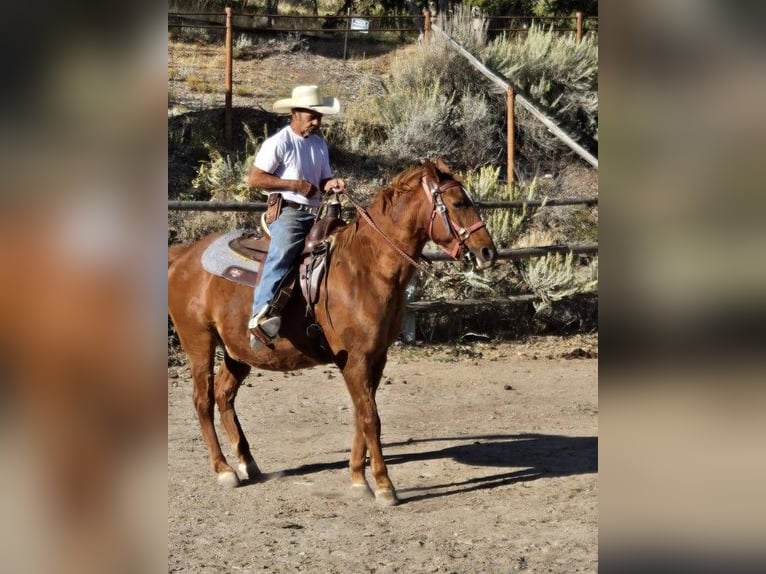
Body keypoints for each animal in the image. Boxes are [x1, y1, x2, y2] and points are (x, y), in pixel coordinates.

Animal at [168, 160, 498, 506]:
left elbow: (361, 414)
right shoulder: (355, 359)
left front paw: (358, 478)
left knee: (224, 395)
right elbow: (370, 418)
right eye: (458, 203)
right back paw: (224, 469)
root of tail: (184, 255)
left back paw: (247, 462)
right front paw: (384, 486)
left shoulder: (376, 358)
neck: (366, 268)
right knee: (203, 400)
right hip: (199, 343)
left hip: (238, 352)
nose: (488, 252)